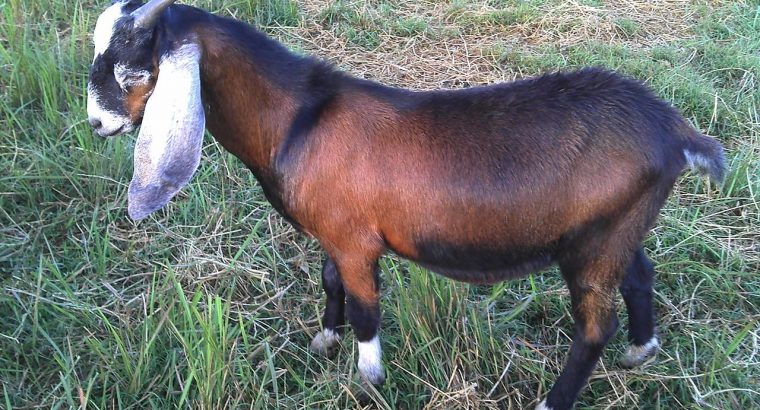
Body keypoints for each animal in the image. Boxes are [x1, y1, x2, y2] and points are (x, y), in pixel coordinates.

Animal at [86, 1, 727, 409]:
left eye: (134, 70)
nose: (97, 125)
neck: (299, 117)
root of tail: (674, 131)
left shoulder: (355, 240)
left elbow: (368, 309)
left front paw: (368, 380)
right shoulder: (334, 233)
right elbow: (330, 283)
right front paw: (324, 342)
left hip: (593, 245)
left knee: (594, 325)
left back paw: (555, 401)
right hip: (618, 227)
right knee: (640, 276)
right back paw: (640, 353)